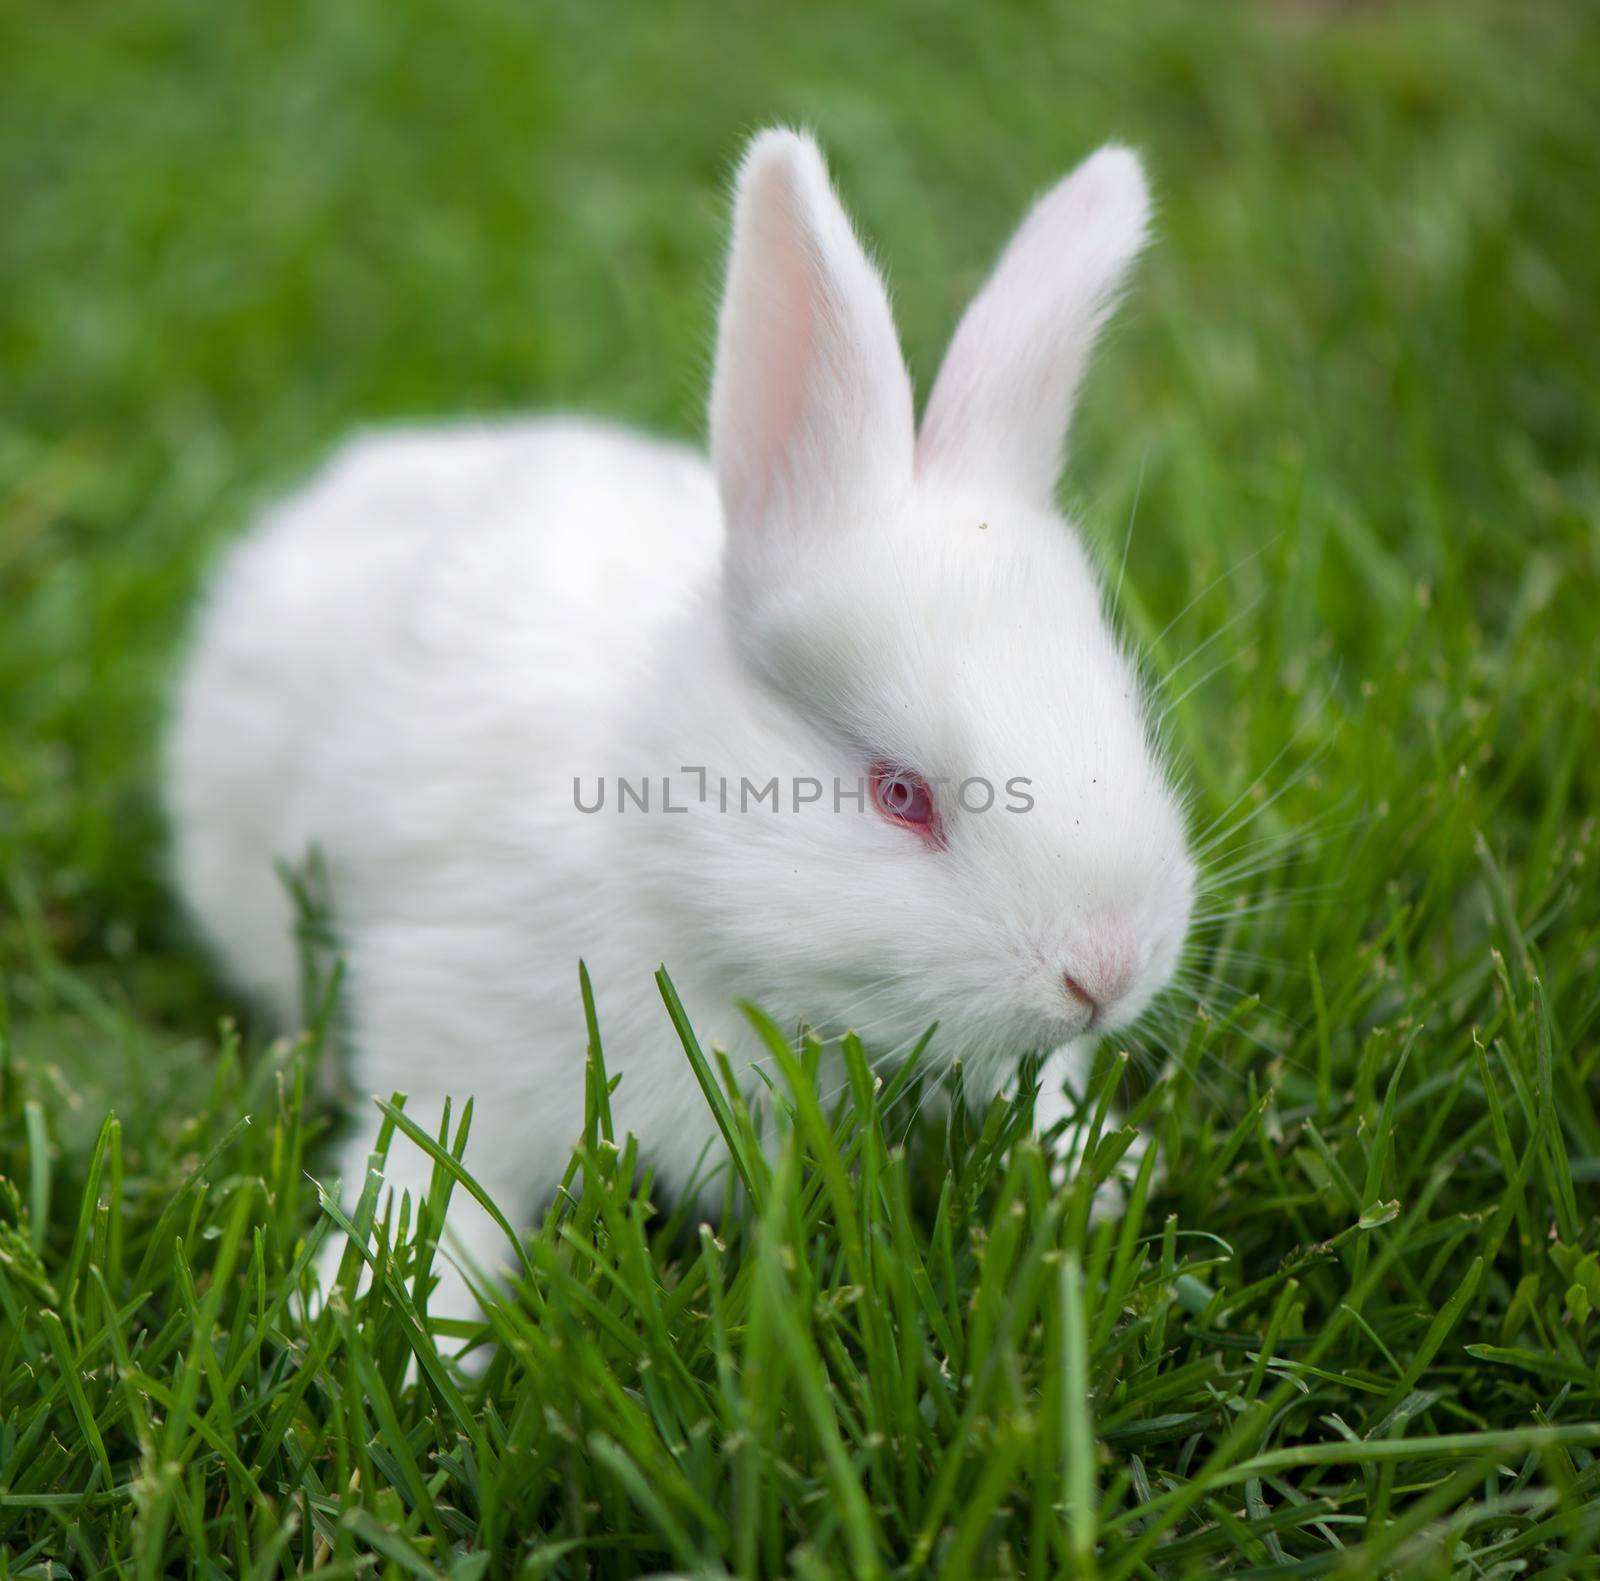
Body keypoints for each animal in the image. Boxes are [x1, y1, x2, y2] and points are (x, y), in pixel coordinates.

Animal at [168, 129, 1196, 1324]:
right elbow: (437, 1176)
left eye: (1124, 715)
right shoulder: (452, 1016)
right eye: (900, 793)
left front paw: (1106, 1168)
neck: (665, 854)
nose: (1107, 975)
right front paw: (373, 1314)